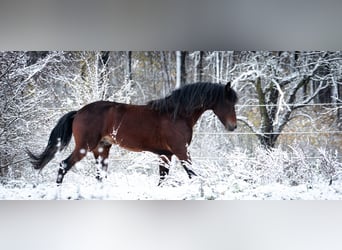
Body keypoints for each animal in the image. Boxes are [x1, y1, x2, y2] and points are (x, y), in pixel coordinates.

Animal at [26, 82, 238, 186]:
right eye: (228, 102)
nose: (233, 126)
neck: (176, 114)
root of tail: (78, 112)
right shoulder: (181, 151)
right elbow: (192, 173)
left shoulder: (166, 154)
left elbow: (162, 178)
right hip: (85, 147)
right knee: (63, 165)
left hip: (101, 149)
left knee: (99, 175)